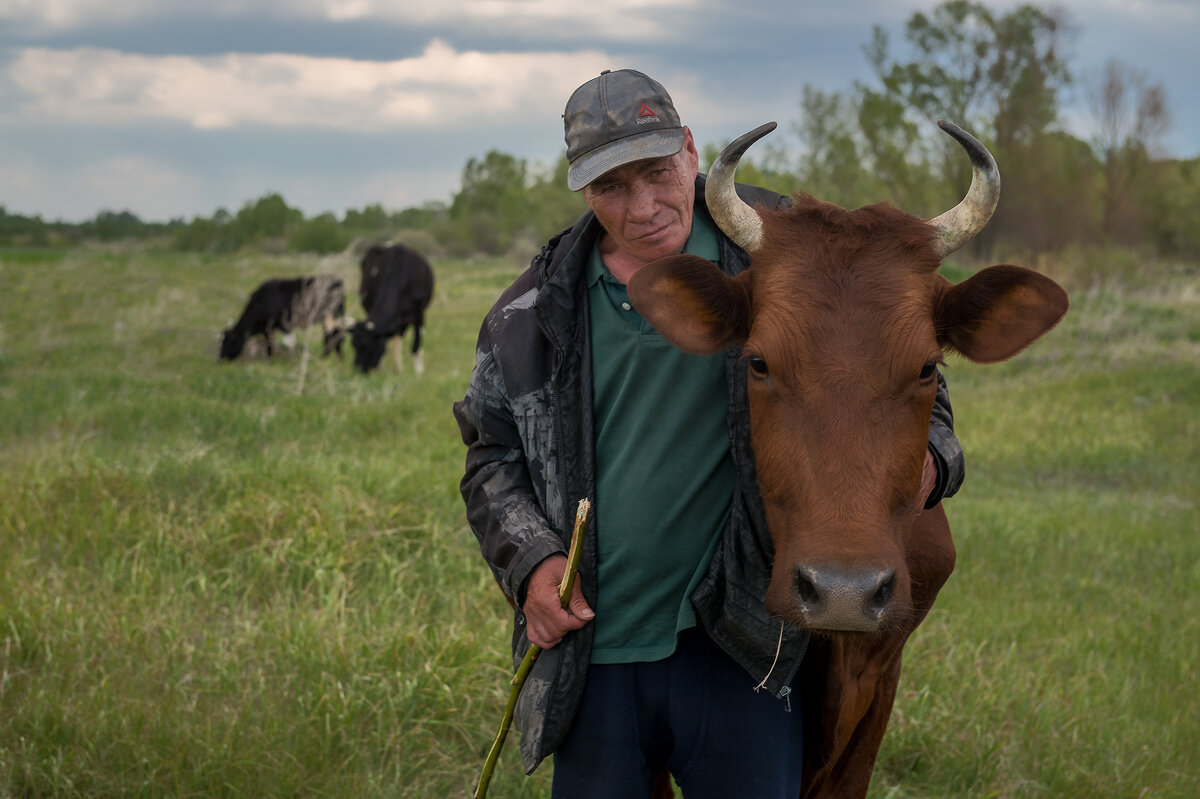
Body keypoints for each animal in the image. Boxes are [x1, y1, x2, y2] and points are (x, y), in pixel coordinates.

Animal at [350, 242, 436, 374]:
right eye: (354, 345)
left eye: (368, 346)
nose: (357, 370)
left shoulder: (418, 313)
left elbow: (416, 345)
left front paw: (419, 372)